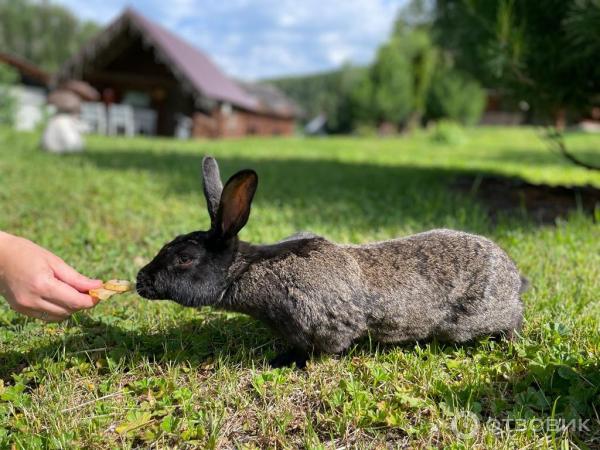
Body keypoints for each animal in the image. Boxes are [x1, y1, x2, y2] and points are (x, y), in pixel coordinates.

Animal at [137, 156, 524, 368]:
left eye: (184, 258)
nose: (141, 280)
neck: (246, 270)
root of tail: (513, 276)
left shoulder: (325, 323)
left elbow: (325, 347)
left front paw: (282, 362)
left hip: (473, 320)